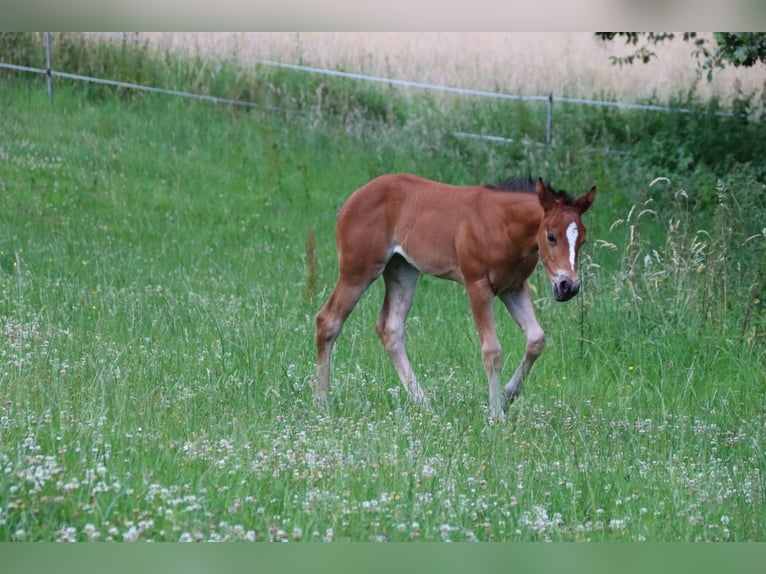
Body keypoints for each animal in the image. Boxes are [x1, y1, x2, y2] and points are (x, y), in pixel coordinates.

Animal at [316, 173, 596, 420]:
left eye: (582, 239)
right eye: (551, 236)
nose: (568, 286)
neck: (502, 226)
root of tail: (350, 202)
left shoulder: (513, 287)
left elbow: (536, 339)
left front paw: (507, 397)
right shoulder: (477, 286)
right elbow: (492, 351)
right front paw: (496, 415)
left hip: (402, 271)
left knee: (390, 328)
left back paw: (423, 404)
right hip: (359, 270)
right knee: (328, 320)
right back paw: (322, 401)